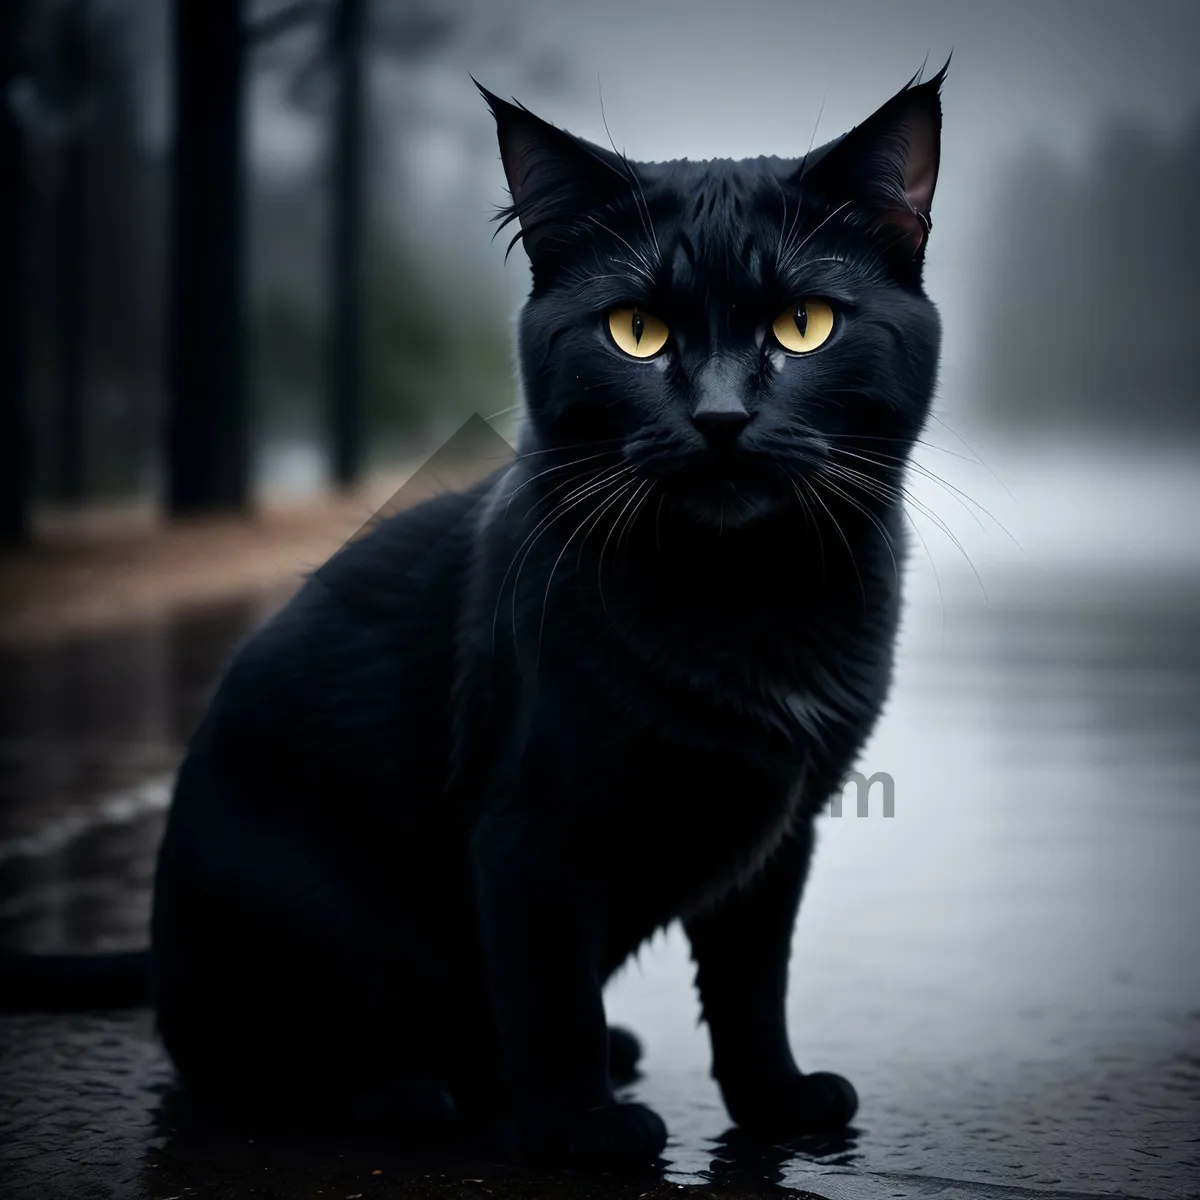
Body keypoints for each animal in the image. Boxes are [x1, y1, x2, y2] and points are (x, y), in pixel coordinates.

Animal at [2, 63, 955, 1161]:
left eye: (805, 325)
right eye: (637, 333)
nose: (720, 417)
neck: (744, 599)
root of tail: (158, 949)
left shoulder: (777, 835)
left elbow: (752, 984)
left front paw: (777, 1106)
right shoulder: (529, 827)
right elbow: (551, 995)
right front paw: (585, 1131)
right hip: (316, 917)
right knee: (242, 1057)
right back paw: (409, 1094)